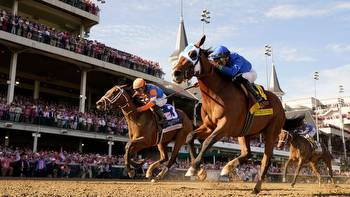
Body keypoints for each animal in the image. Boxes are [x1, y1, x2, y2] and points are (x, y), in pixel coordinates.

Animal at [171, 34, 286, 193]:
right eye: (181, 54)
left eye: (192, 54)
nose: (176, 73)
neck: (217, 92)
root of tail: (279, 103)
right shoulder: (209, 126)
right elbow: (190, 137)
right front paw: (200, 171)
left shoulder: (224, 126)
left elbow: (207, 142)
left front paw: (194, 168)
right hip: (245, 132)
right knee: (247, 153)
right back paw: (227, 168)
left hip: (271, 131)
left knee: (266, 158)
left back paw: (256, 187)